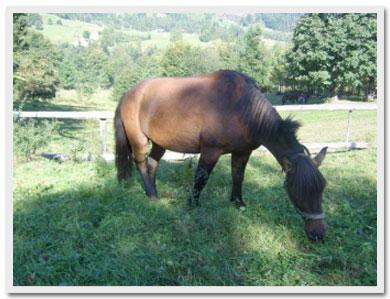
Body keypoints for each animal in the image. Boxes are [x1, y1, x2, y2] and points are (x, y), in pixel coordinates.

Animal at [114, 70, 328, 241]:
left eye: (321, 189)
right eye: (298, 190)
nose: (318, 234)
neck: (241, 107)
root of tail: (128, 93)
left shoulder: (242, 152)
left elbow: (238, 176)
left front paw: (238, 203)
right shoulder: (210, 151)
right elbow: (201, 178)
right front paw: (193, 205)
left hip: (160, 143)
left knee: (152, 164)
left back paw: (155, 193)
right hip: (139, 140)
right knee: (141, 163)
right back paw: (151, 194)